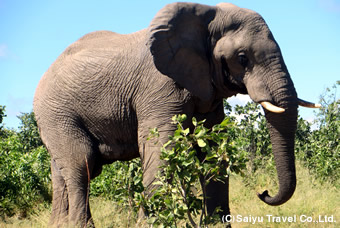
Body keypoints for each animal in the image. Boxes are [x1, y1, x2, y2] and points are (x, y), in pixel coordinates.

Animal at [33, 1, 320, 226]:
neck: (206, 16)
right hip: (57, 113)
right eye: (242, 58)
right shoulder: (159, 87)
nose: (264, 192)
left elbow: (212, 149)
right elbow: (161, 147)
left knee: (62, 173)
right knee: (81, 164)